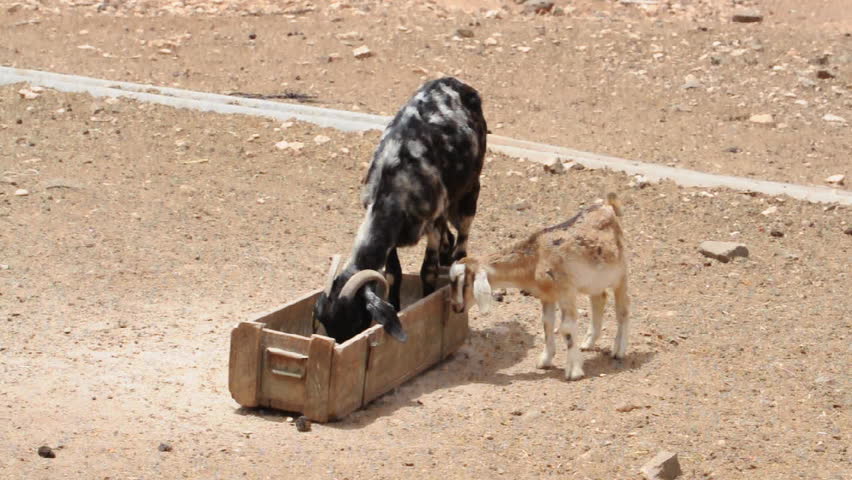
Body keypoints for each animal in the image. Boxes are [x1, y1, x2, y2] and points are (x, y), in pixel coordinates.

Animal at [313, 77, 487, 344]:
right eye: (325, 321)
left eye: (355, 318)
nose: (340, 344)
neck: (396, 182)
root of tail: (454, 82)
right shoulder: (393, 239)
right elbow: (394, 273)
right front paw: (395, 305)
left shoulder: (432, 223)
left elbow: (428, 271)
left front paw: (426, 300)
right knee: (450, 240)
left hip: (470, 192)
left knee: (462, 243)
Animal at [448, 193, 629, 380]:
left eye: (465, 283)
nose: (455, 307)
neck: (537, 258)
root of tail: (607, 205)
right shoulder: (547, 296)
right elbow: (547, 323)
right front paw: (545, 360)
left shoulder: (566, 293)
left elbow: (566, 328)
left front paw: (574, 370)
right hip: (594, 279)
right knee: (599, 299)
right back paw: (588, 342)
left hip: (620, 273)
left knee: (623, 310)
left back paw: (618, 350)